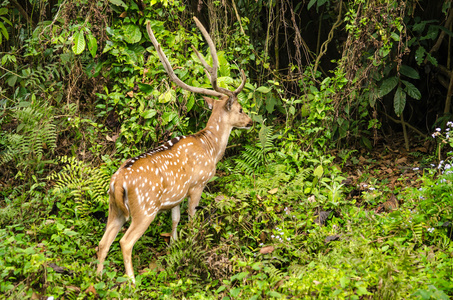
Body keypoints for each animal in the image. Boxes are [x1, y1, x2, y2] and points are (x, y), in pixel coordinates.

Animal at [96, 17, 252, 282]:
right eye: (240, 109)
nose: (250, 121)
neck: (210, 148)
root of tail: (118, 182)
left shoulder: (176, 196)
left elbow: (175, 221)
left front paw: (174, 249)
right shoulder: (197, 184)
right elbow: (191, 218)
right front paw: (192, 246)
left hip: (113, 208)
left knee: (102, 243)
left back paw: (96, 279)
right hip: (144, 208)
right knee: (125, 242)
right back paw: (132, 282)